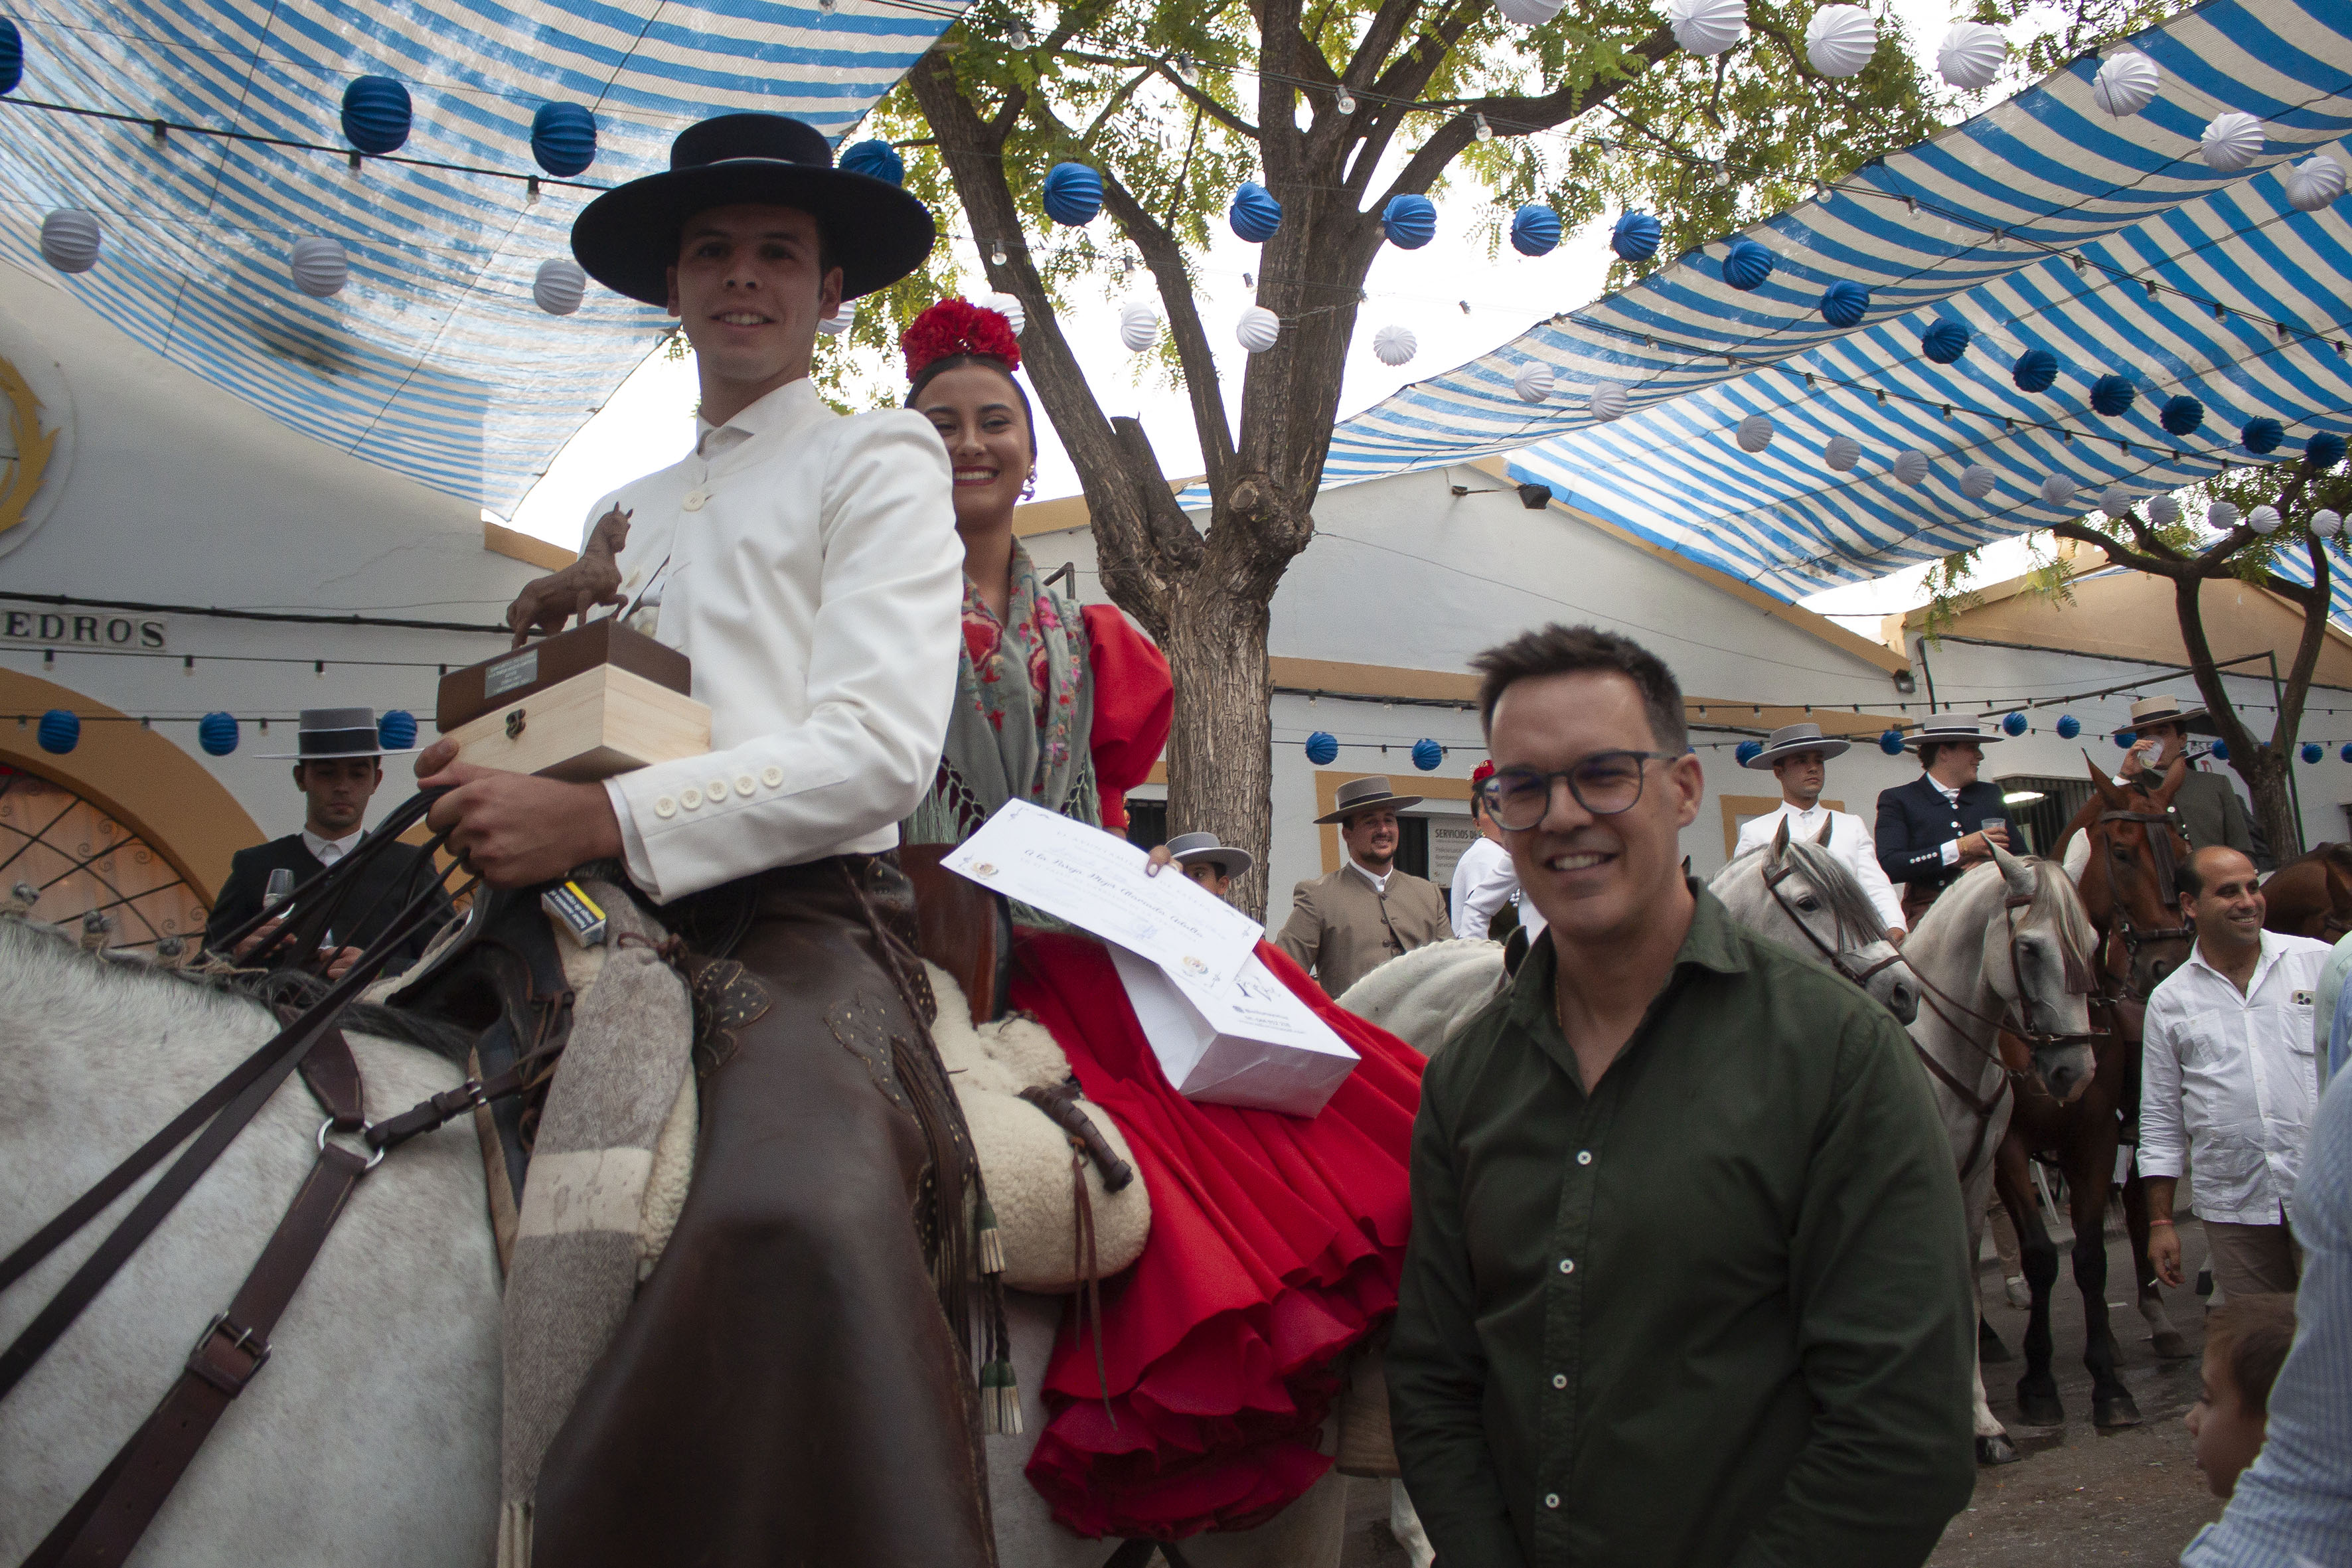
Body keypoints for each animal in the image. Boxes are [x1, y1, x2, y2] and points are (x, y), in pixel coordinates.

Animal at [1893, 843, 2101, 1462]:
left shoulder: (1976, 1177)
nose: (2074, 1071)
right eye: (2028, 948)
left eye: (2093, 942)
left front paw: (1982, 1423)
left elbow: (1966, 1286)